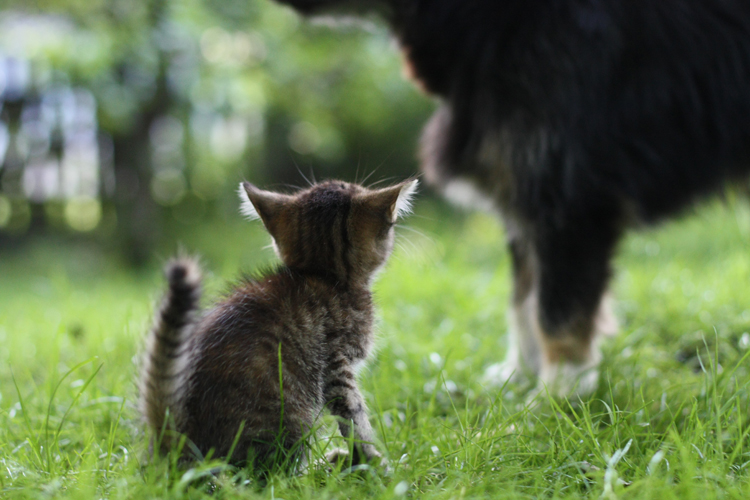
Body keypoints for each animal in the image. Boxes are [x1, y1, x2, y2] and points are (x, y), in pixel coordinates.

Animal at [140, 178, 418, 466]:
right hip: (291, 417)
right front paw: (374, 461)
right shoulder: (337, 364)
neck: (325, 276)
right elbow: (354, 416)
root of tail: (174, 440)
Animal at [274, 0, 750, 394]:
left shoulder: (568, 197)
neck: (502, 16)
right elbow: (523, 300)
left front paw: (558, 397)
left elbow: (557, 310)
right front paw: (517, 378)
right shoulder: (523, 199)